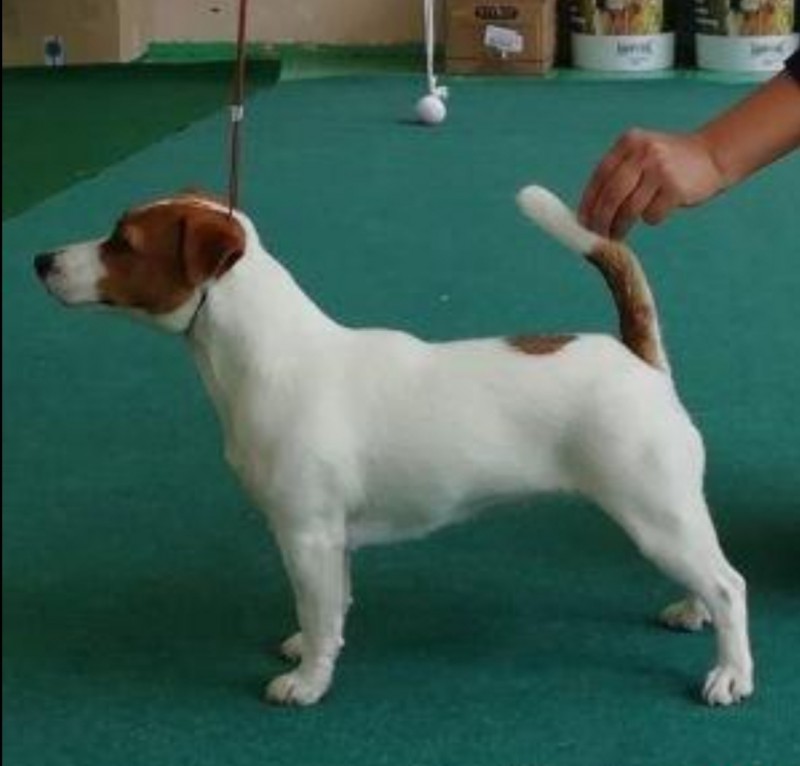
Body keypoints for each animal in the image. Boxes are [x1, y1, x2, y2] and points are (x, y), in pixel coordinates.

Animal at [34, 186, 753, 707]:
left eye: (122, 242)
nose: (42, 260)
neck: (268, 356)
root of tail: (637, 357)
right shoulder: (332, 541)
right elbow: (332, 607)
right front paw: (307, 649)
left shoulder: (306, 535)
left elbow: (319, 611)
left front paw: (308, 683)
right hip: (667, 514)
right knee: (705, 572)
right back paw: (690, 611)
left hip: (651, 510)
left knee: (728, 585)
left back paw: (731, 674)